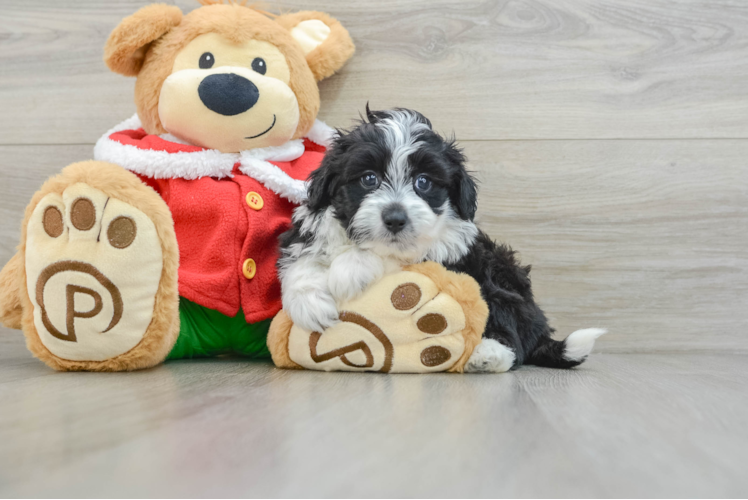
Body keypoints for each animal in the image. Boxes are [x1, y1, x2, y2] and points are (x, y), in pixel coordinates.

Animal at [278, 108, 604, 372]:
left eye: (423, 182)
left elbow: (394, 257)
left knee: (511, 331)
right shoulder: (309, 230)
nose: (395, 218)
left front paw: (349, 269)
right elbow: (301, 259)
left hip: (502, 280)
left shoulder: (446, 252)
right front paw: (311, 304)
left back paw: (488, 355)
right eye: (369, 178)